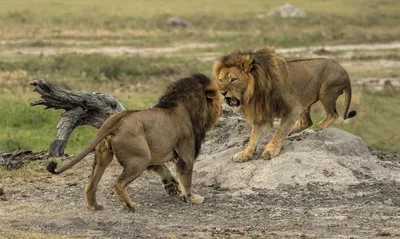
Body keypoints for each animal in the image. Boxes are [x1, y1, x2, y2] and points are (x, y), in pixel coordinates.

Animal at [47, 73, 222, 211]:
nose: (221, 106)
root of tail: (116, 120)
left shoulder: (153, 155)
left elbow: (163, 169)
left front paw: (171, 187)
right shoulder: (185, 152)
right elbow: (187, 178)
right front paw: (192, 198)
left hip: (105, 156)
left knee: (91, 184)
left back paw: (95, 206)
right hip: (140, 159)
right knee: (118, 182)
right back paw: (130, 205)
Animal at [214, 46, 354, 162]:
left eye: (233, 79)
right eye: (220, 80)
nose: (222, 92)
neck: (255, 92)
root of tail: (346, 72)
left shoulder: (293, 108)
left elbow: (279, 132)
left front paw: (270, 150)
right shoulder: (263, 115)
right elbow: (253, 136)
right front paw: (245, 153)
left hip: (326, 91)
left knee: (333, 114)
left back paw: (320, 125)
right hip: (305, 101)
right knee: (306, 122)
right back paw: (293, 130)